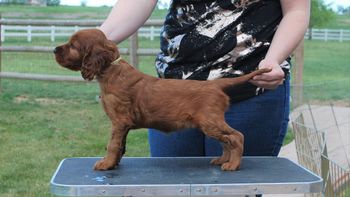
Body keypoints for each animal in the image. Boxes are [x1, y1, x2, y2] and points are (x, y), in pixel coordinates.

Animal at [54, 28, 270, 171]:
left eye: (72, 45)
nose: (55, 49)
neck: (111, 70)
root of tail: (215, 85)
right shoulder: (123, 125)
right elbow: (121, 145)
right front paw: (113, 163)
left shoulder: (119, 121)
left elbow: (113, 144)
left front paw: (105, 164)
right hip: (210, 123)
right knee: (227, 141)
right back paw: (222, 160)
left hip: (210, 122)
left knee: (236, 136)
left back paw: (232, 164)